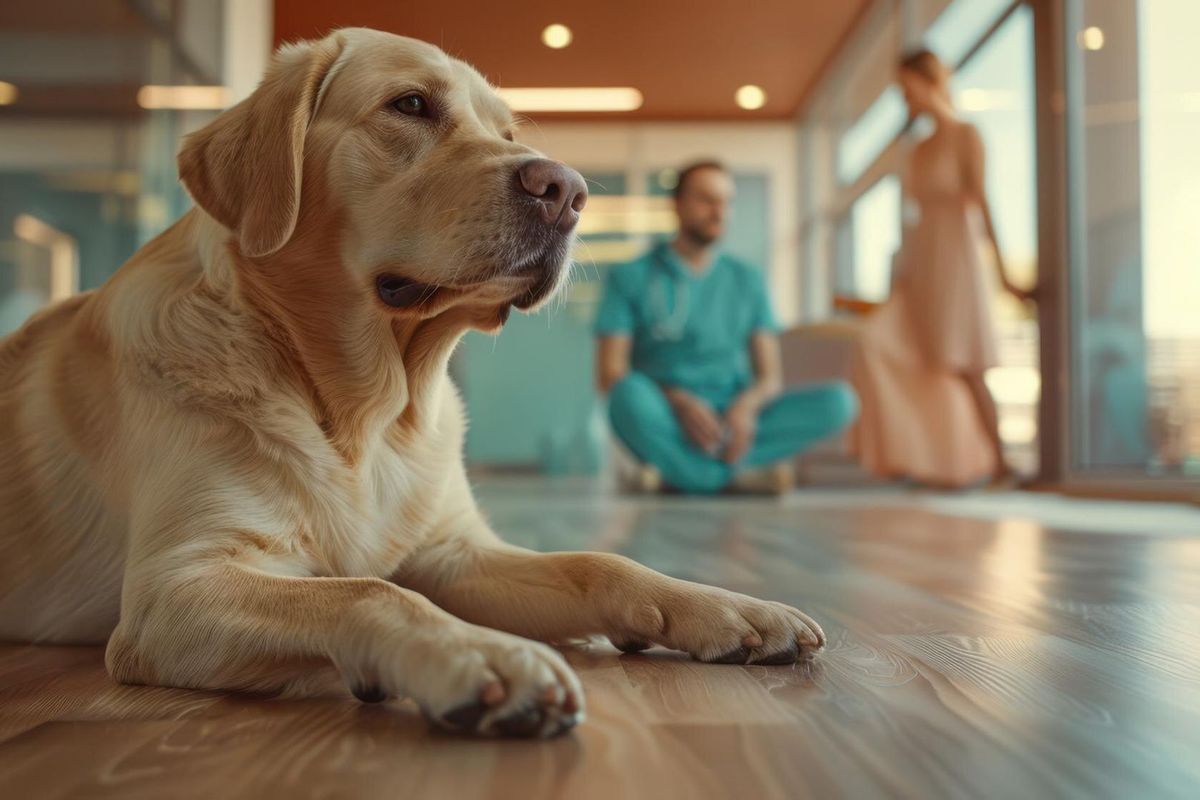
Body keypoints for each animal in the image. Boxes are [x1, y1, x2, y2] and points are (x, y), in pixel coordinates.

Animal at [0, 26, 820, 738]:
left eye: (511, 134)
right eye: (412, 105)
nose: (568, 190)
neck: (369, 414)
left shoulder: (454, 554)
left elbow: (600, 563)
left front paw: (730, 609)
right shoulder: (175, 589)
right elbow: (372, 590)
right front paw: (481, 655)